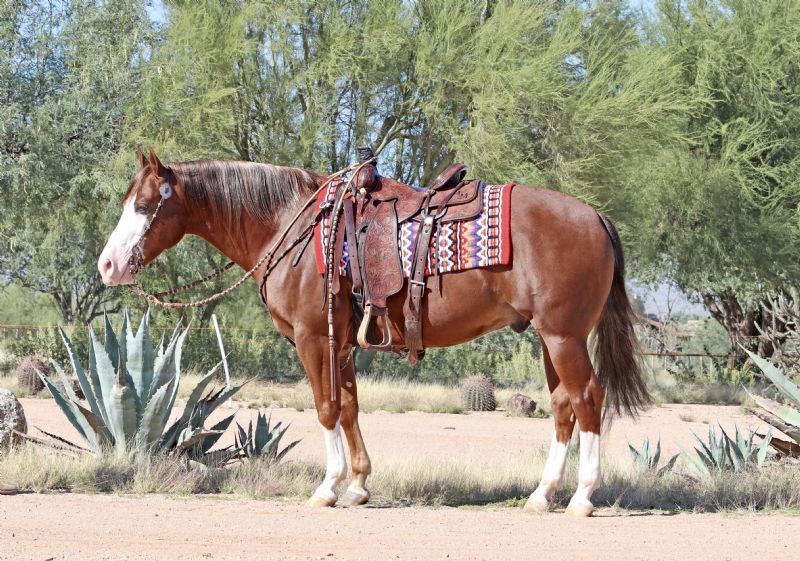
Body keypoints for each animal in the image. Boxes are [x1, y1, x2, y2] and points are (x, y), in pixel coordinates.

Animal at [98, 148, 650, 516]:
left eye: (144, 206)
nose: (108, 265)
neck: (289, 227)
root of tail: (596, 217)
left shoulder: (312, 338)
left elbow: (325, 408)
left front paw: (327, 487)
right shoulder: (340, 344)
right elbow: (348, 407)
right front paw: (359, 485)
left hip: (563, 336)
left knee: (587, 398)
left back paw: (583, 497)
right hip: (548, 339)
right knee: (563, 406)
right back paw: (542, 495)